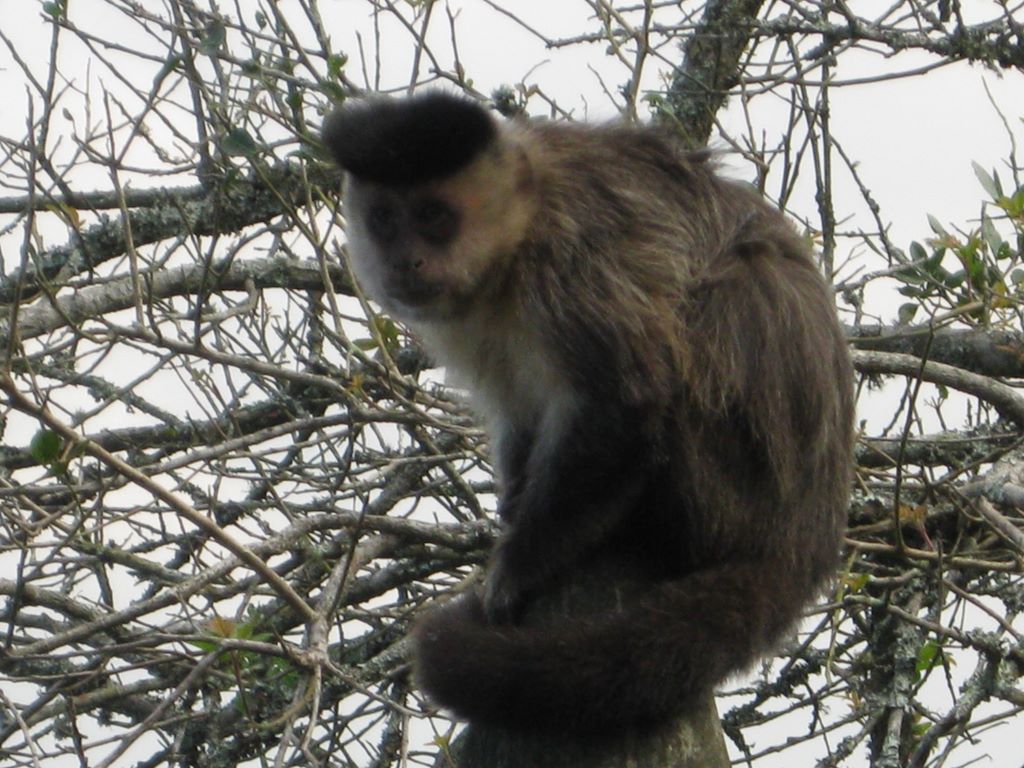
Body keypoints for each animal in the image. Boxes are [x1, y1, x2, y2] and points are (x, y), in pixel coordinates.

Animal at [322, 92, 855, 735]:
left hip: (738, 486)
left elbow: (626, 400)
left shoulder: (570, 255)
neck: (515, 246)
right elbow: (519, 414)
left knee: (724, 290)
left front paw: (519, 563)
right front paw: (513, 510)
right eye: (383, 219)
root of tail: (810, 535)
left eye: (433, 216)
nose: (405, 261)